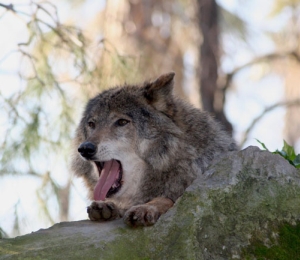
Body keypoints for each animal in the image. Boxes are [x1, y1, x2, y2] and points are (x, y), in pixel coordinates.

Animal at [71, 72, 237, 226]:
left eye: (122, 122)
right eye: (91, 124)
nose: (85, 148)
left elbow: (167, 200)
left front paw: (146, 208)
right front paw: (109, 206)